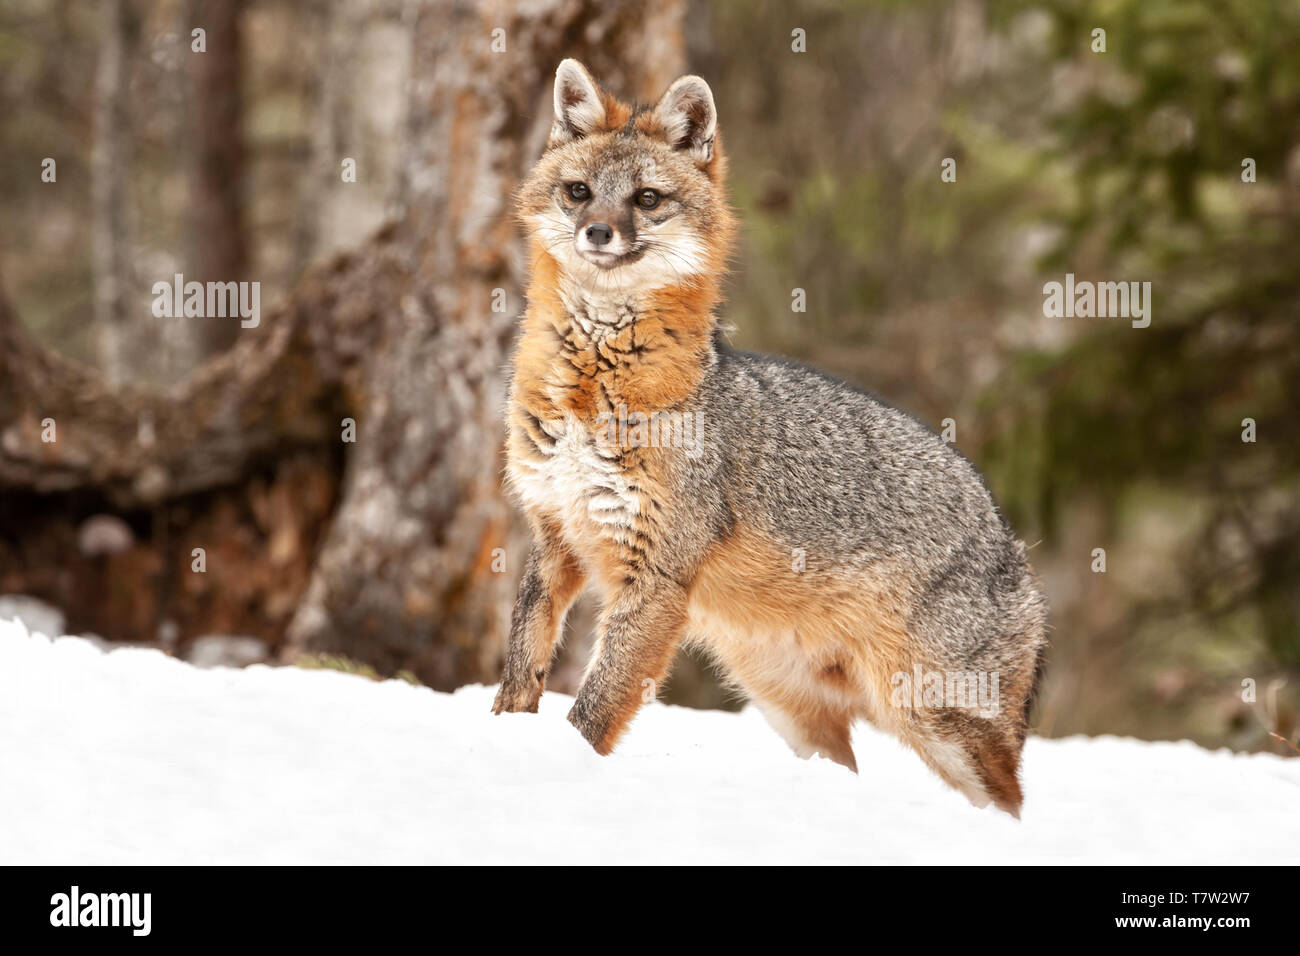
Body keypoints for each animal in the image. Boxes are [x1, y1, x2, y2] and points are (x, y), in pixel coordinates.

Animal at [491, 57, 1050, 816]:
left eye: (646, 199)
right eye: (579, 193)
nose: (597, 233)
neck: (591, 390)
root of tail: (1011, 542)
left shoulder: (655, 576)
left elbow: (591, 711)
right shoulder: (555, 537)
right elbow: (520, 674)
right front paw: (498, 745)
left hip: (935, 720)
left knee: (1012, 804)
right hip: (792, 710)